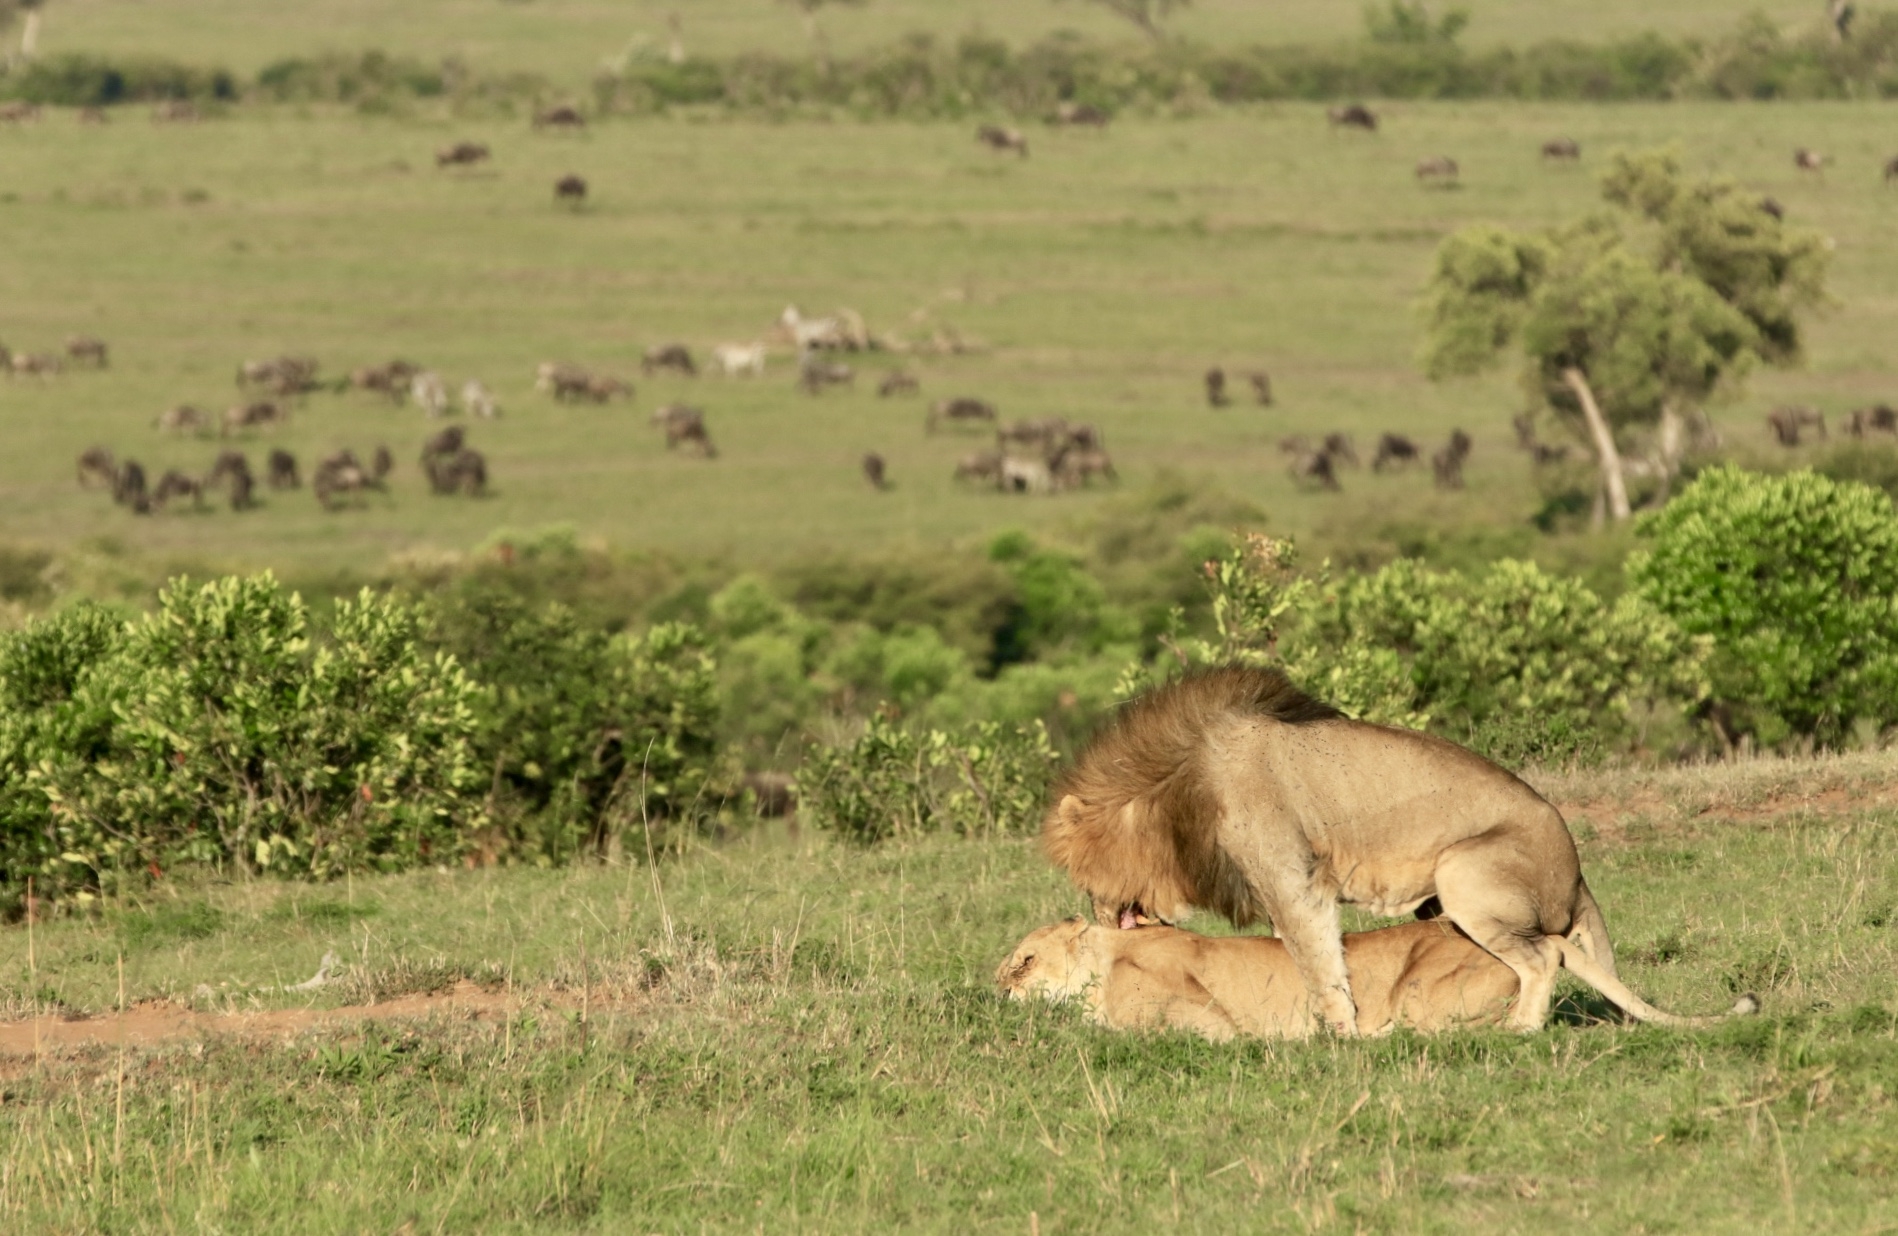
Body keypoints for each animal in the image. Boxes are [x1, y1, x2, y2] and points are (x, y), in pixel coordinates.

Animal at [1040, 668, 1617, 1032]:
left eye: (1085, 883)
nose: (1094, 918)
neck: (1175, 798)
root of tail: (1579, 878)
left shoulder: (1290, 877)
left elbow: (1316, 958)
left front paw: (1340, 1032)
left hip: (1460, 870)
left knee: (1541, 957)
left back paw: (1520, 1030)